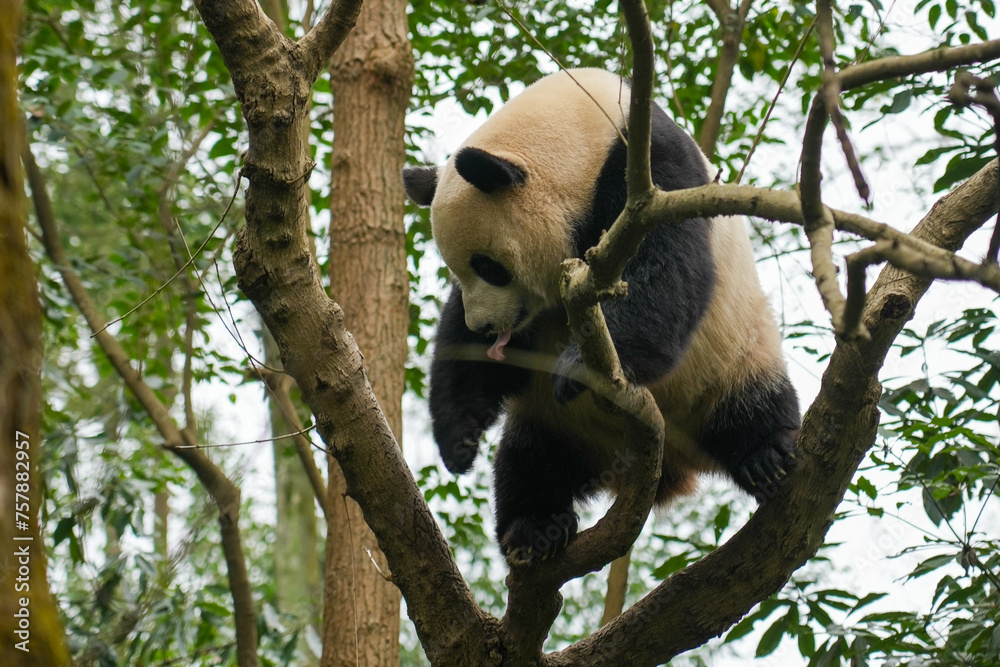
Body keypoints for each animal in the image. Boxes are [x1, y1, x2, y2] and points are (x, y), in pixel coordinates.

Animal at [402, 68, 800, 565]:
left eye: (489, 266)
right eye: (459, 270)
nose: (487, 329)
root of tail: (671, 465)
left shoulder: (652, 179)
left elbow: (665, 270)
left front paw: (578, 368)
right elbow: (460, 340)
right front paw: (459, 439)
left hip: (732, 355)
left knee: (751, 405)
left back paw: (766, 456)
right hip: (553, 421)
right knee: (532, 462)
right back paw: (533, 527)